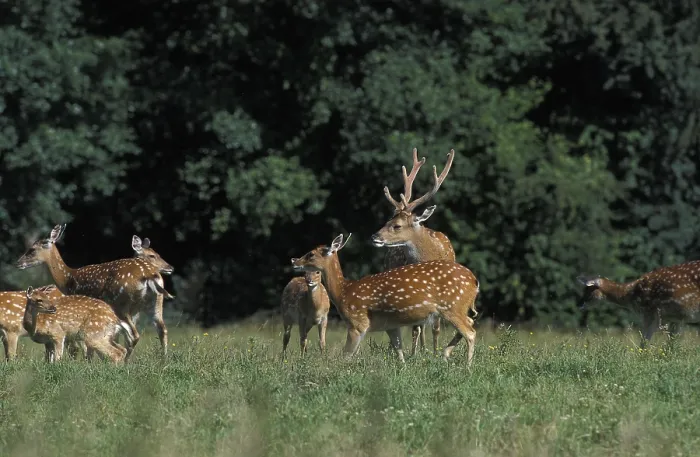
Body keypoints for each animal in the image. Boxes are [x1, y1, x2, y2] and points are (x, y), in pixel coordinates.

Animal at [15, 224, 172, 360]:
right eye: (153, 255)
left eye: (32, 249)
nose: (18, 263)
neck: (67, 279)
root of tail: (150, 275)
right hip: (154, 303)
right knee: (161, 329)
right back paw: (162, 361)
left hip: (121, 303)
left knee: (134, 335)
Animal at [291, 233, 479, 365]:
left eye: (311, 254)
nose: (294, 260)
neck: (344, 292)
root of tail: (474, 281)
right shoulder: (390, 325)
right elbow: (399, 351)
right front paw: (404, 369)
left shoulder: (357, 323)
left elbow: (346, 355)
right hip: (456, 307)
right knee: (470, 323)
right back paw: (445, 355)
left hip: (452, 306)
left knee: (470, 332)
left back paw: (467, 367)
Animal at [371, 148, 456, 356]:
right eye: (387, 220)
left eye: (397, 225)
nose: (375, 236)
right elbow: (417, 327)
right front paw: (415, 355)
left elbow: (436, 327)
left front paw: (436, 353)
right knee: (416, 325)